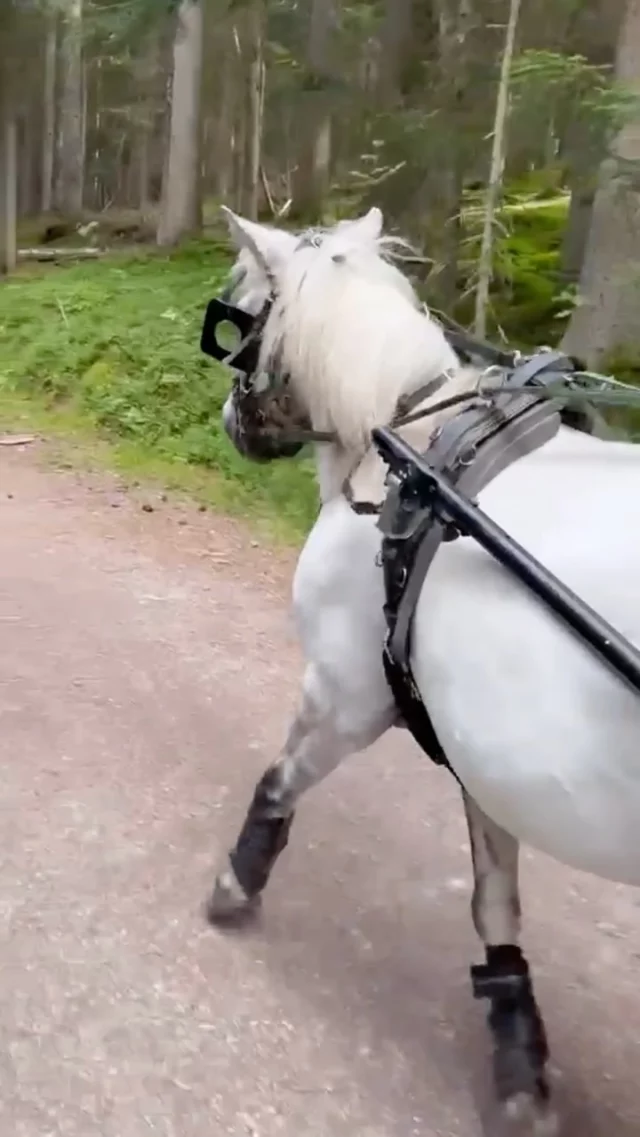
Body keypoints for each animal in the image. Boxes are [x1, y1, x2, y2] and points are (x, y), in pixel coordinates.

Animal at [204, 204, 640, 1133]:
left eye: (242, 312)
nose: (230, 420)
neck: (410, 447)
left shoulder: (346, 692)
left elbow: (279, 781)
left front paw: (236, 880)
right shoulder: (492, 755)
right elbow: (494, 898)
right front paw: (519, 1056)